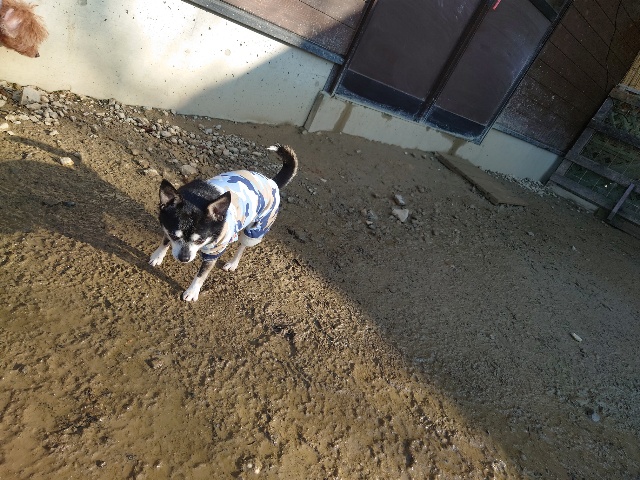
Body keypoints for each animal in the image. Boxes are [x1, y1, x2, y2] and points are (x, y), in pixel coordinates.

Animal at [149, 144, 298, 302]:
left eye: (200, 240)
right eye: (174, 236)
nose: (184, 258)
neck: (199, 196)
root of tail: (272, 182)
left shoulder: (214, 251)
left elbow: (202, 274)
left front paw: (192, 291)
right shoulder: (168, 228)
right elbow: (165, 241)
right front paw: (157, 256)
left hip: (257, 228)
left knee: (243, 246)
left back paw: (233, 263)